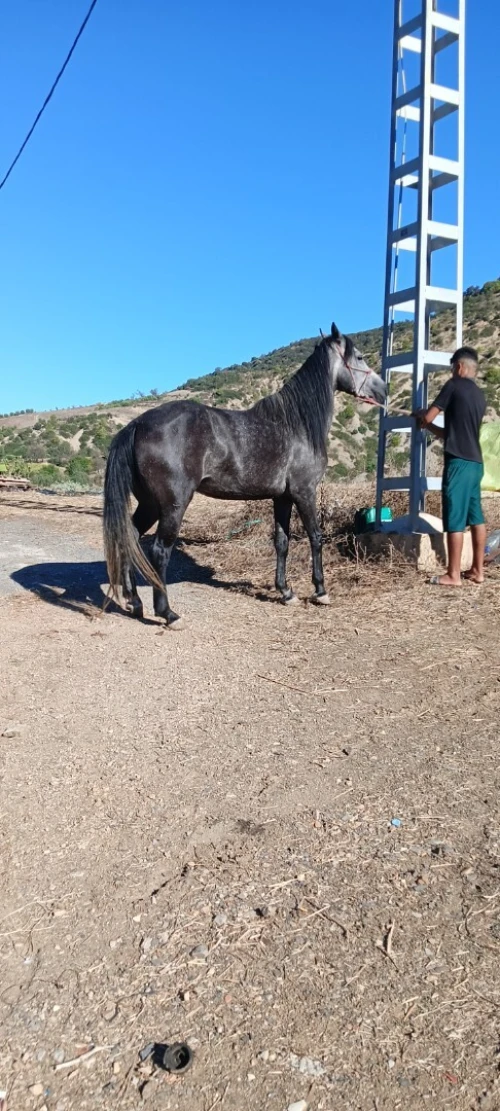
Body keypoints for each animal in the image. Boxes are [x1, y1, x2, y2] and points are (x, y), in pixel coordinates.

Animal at [103, 323, 387, 626]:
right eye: (359, 357)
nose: (383, 389)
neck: (296, 425)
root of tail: (136, 425)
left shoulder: (282, 498)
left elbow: (282, 542)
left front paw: (286, 592)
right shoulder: (304, 492)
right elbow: (316, 536)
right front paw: (320, 591)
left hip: (149, 504)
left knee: (129, 537)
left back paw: (134, 601)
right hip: (172, 505)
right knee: (158, 551)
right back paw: (167, 612)